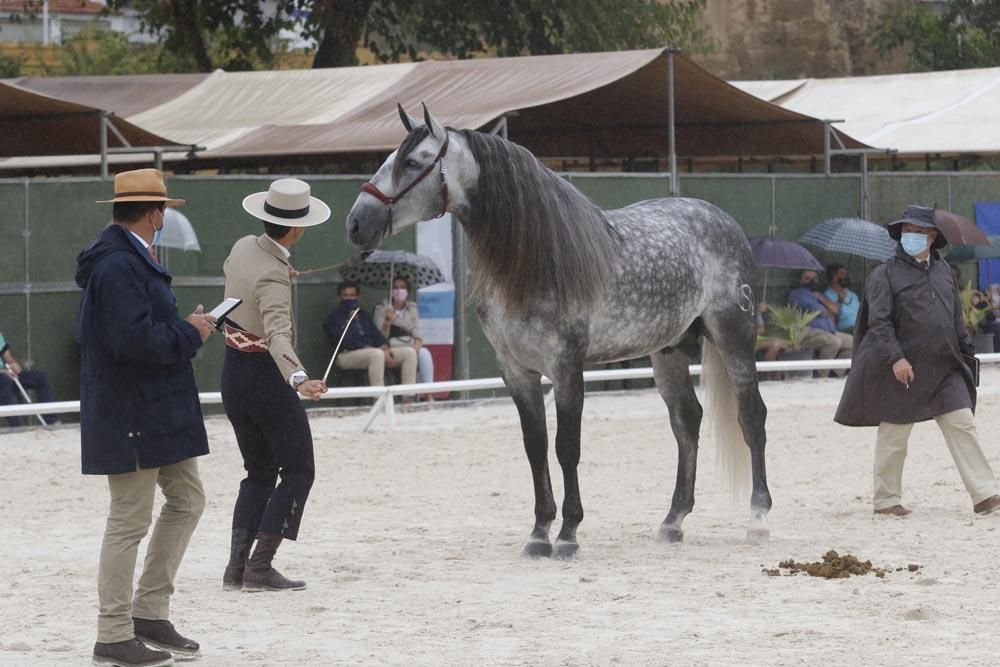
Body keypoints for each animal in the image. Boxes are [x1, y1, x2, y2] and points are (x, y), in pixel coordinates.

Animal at [346, 105, 772, 564]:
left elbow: (567, 447)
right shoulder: (516, 370)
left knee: (752, 416)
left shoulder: (567, 366)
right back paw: (673, 521)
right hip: (668, 350)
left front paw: (568, 534)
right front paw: (538, 534)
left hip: (734, 337)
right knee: (686, 421)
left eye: (412, 162)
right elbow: (535, 447)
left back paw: (757, 520)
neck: (537, 261)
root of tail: (723, 220)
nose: (356, 223)